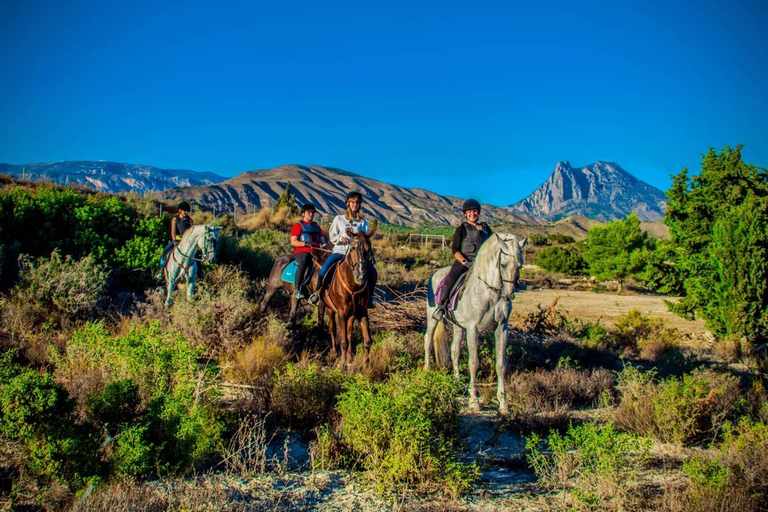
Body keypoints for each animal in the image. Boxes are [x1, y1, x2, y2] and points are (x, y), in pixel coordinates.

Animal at [320, 228, 376, 364]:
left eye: (368, 249)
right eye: (352, 248)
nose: (360, 276)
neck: (354, 286)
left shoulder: (362, 312)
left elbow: (367, 341)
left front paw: (366, 363)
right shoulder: (341, 313)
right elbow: (343, 340)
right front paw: (342, 364)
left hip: (351, 314)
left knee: (349, 333)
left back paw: (350, 356)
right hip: (330, 309)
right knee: (333, 329)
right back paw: (335, 351)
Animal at [424, 234, 524, 414]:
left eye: (520, 265)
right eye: (503, 264)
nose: (507, 296)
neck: (490, 293)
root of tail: (435, 274)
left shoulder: (501, 328)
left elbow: (501, 365)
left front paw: (503, 404)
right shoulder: (473, 329)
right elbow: (473, 363)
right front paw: (474, 401)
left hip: (457, 326)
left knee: (454, 350)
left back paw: (457, 381)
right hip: (432, 317)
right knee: (428, 340)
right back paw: (427, 370)